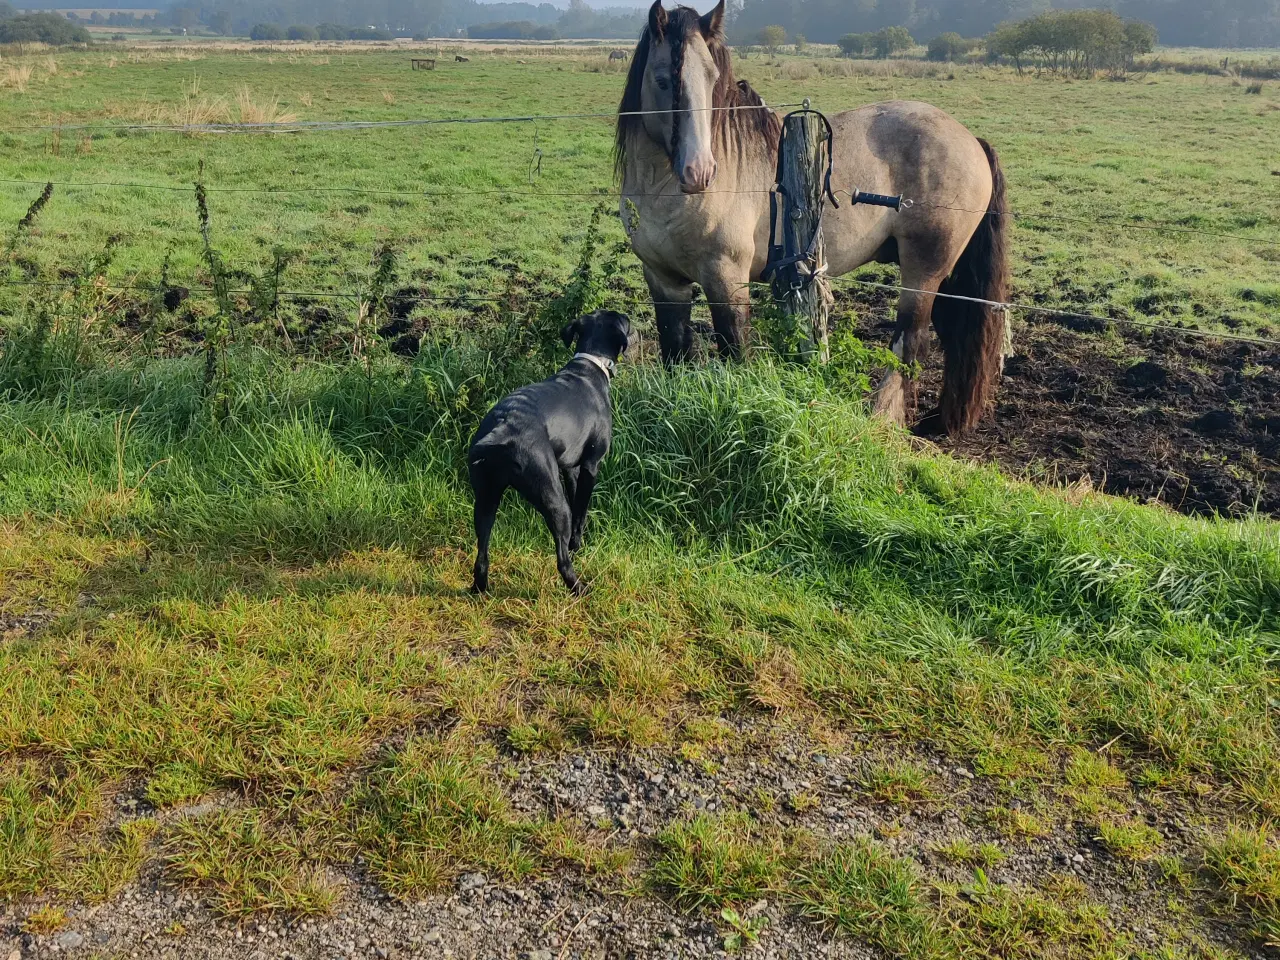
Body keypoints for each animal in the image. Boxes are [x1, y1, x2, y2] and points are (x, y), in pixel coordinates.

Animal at [468, 309, 632, 593]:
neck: (590, 365)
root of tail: (502, 426)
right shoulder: (591, 465)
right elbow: (581, 510)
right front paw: (577, 545)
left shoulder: (571, 469)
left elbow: (578, 505)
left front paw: (578, 544)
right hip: (553, 500)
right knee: (562, 560)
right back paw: (580, 588)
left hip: (486, 500)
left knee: (482, 555)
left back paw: (480, 588)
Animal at [616, 0, 1008, 435]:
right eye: (663, 80)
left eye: (714, 79)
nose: (700, 172)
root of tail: (971, 140)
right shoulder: (663, 280)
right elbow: (675, 348)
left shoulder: (726, 280)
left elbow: (734, 350)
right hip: (942, 275)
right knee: (953, 334)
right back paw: (941, 422)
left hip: (923, 271)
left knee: (910, 341)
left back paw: (880, 419)